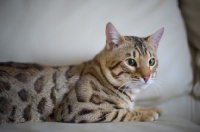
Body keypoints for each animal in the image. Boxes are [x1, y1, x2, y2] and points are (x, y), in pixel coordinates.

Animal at [0, 22, 164, 124]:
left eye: (151, 61)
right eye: (130, 62)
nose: (147, 77)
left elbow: (131, 108)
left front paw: (150, 108)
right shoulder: (80, 110)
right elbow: (124, 113)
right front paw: (147, 113)